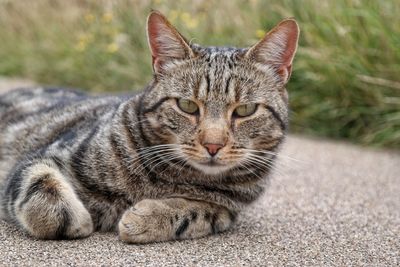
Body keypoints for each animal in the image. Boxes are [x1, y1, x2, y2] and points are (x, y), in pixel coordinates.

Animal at [0, 11, 296, 245]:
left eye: (245, 110)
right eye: (187, 105)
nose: (213, 145)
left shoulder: (225, 210)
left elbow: (195, 213)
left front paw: (148, 218)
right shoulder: (42, 157)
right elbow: (39, 190)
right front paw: (75, 219)